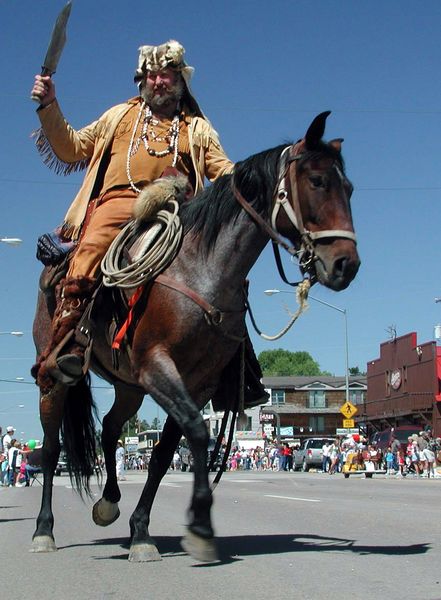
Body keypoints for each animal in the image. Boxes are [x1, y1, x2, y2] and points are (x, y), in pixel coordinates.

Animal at [31, 111, 360, 564]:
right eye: (317, 181)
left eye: (349, 188)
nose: (346, 264)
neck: (199, 269)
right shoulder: (158, 367)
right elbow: (198, 434)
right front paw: (201, 524)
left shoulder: (196, 381)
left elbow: (165, 454)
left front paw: (142, 531)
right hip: (55, 378)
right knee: (50, 448)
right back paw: (44, 530)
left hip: (128, 385)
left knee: (110, 431)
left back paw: (109, 502)